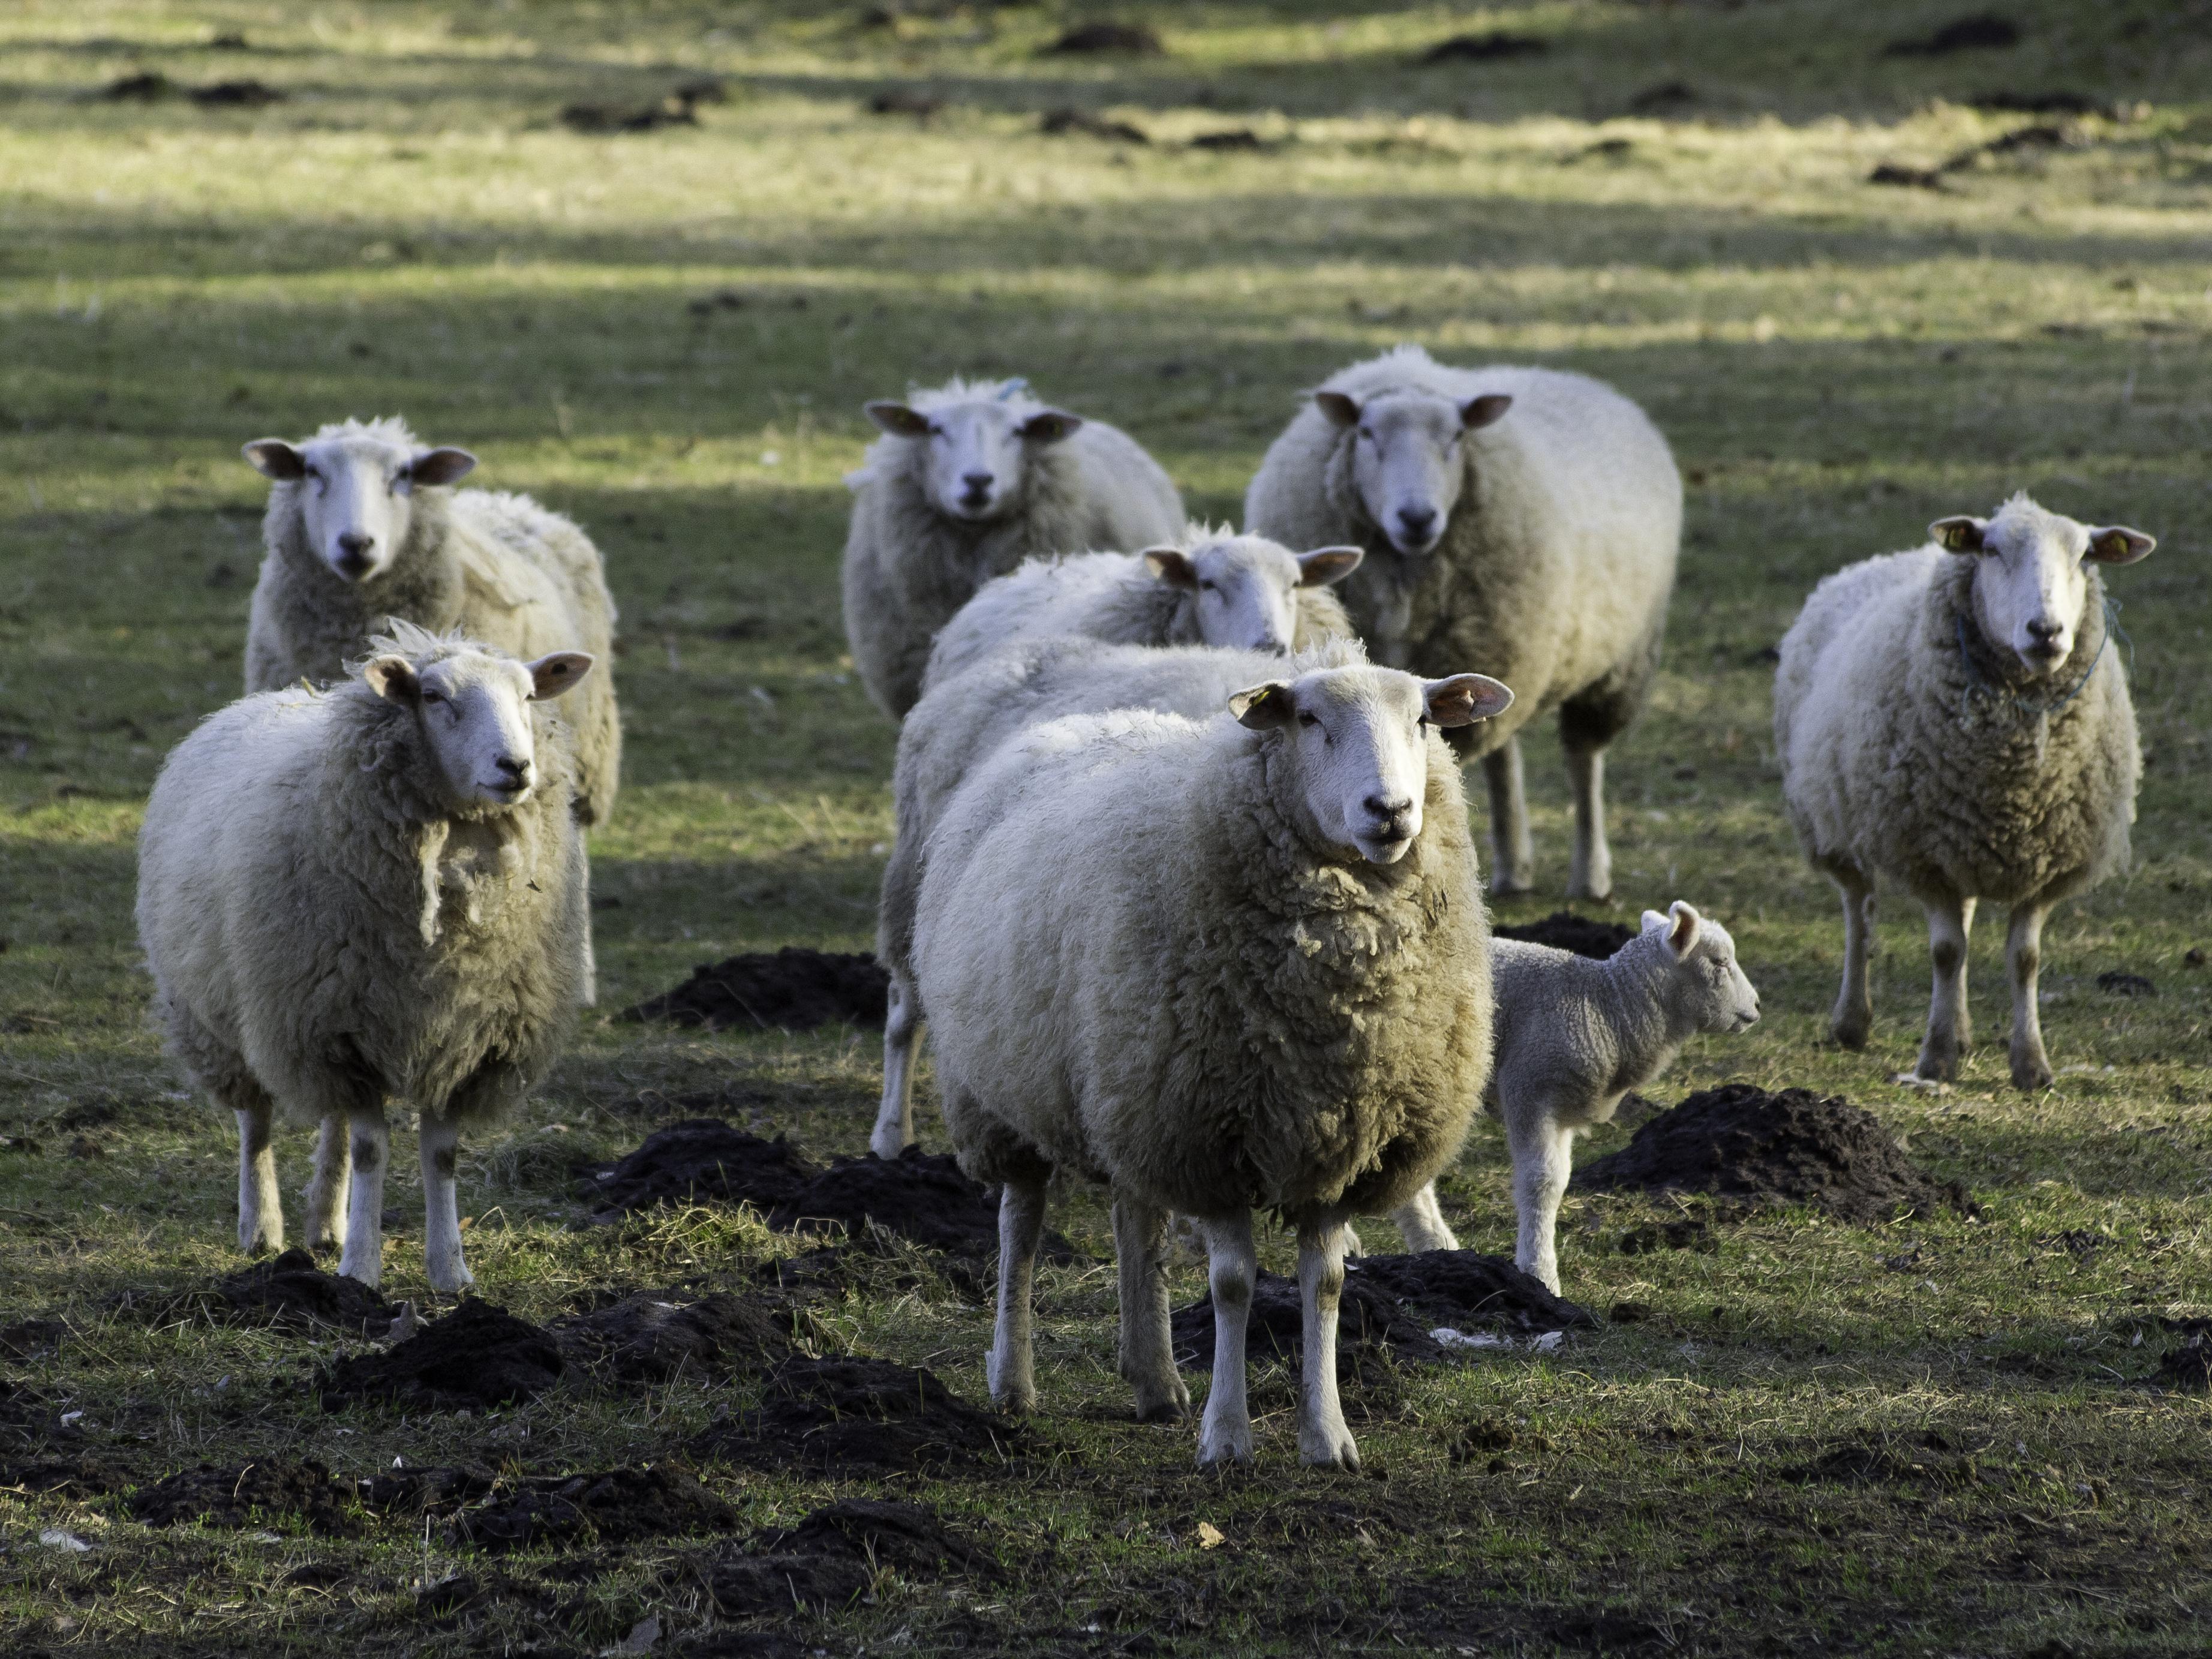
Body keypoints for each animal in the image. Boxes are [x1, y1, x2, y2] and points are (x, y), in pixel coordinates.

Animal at [137, 622, 595, 1291]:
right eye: (433, 696)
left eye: (530, 696)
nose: (516, 766)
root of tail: (286, 693)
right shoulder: (340, 1029)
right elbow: (373, 1149)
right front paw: (361, 1268)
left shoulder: (459, 1038)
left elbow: (440, 1155)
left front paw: (449, 1270)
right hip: (228, 1018)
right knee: (257, 1123)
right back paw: (261, 1227)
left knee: (335, 1127)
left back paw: (326, 1222)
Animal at [912, 655, 1513, 1467]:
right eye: (1307, 720)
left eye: (1422, 720)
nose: (1389, 810)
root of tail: (1086, 721)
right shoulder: (1213, 1135)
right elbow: (1231, 1285)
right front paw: (1227, 1438)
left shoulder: (1333, 1135)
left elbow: (1326, 1284)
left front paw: (1328, 1437)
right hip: (1006, 1094)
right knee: (1022, 1227)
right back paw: (1013, 1380)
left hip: (1132, 1083)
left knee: (1135, 1220)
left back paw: (1154, 1379)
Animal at [1244, 345, 1681, 901]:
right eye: (1365, 433)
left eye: (1455, 436)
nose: (1417, 517)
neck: (1405, 576)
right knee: (1505, 755)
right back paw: (1514, 867)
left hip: (1610, 664)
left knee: (1583, 759)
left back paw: (1590, 874)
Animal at [1384, 902, 1760, 1291]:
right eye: (1719, 962)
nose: (1757, 1007)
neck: (1609, 1010)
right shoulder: (1530, 1088)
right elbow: (1542, 1181)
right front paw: (1540, 1274)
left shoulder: (1562, 1110)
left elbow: (1560, 1180)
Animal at [1775, 493, 2154, 1090]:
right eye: (1992, 550)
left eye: (2084, 556)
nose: (2046, 631)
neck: (2016, 789)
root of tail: (1895, 555)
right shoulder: (1924, 852)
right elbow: (1947, 952)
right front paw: (1935, 1059)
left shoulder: (2044, 861)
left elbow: (2024, 959)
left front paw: (2031, 1065)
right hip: (1834, 822)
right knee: (1859, 911)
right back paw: (1852, 1022)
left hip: (1961, 839)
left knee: (1961, 913)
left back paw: (1963, 1029)